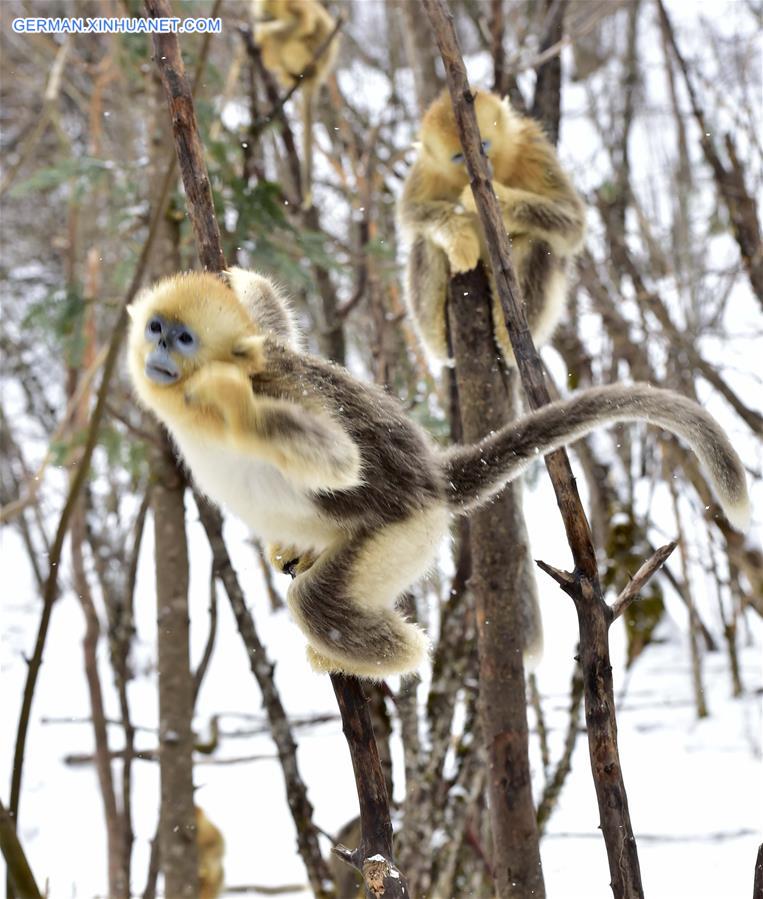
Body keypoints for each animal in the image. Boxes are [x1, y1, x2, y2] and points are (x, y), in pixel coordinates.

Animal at [127, 270, 752, 680]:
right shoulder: (271, 347)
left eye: (183, 338)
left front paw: (227, 397)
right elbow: (269, 317)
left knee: (318, 605)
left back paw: (384, 654)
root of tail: (434, 480)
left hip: (405, 535)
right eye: (156, 328)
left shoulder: (277, 386)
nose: (159, 351)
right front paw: (241, 275)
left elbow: (339, 459)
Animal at [252, 0, 342, 203]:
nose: (266, 18)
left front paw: (261, 33)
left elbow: (304, 23)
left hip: (308, 55)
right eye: (266, 15)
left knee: (289, 44)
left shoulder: (294, 5)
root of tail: (316, 78)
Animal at [400, 85, 584, 366]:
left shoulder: (533, 147)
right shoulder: (425, 168)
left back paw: (507, 342)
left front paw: (496, 198)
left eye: (482, 145)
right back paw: (440, 343)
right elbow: (409, 217)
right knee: (424, 242)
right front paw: (461, 240)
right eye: (458, 157)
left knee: (538, 242)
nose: (479, 168)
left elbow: (573, 222)